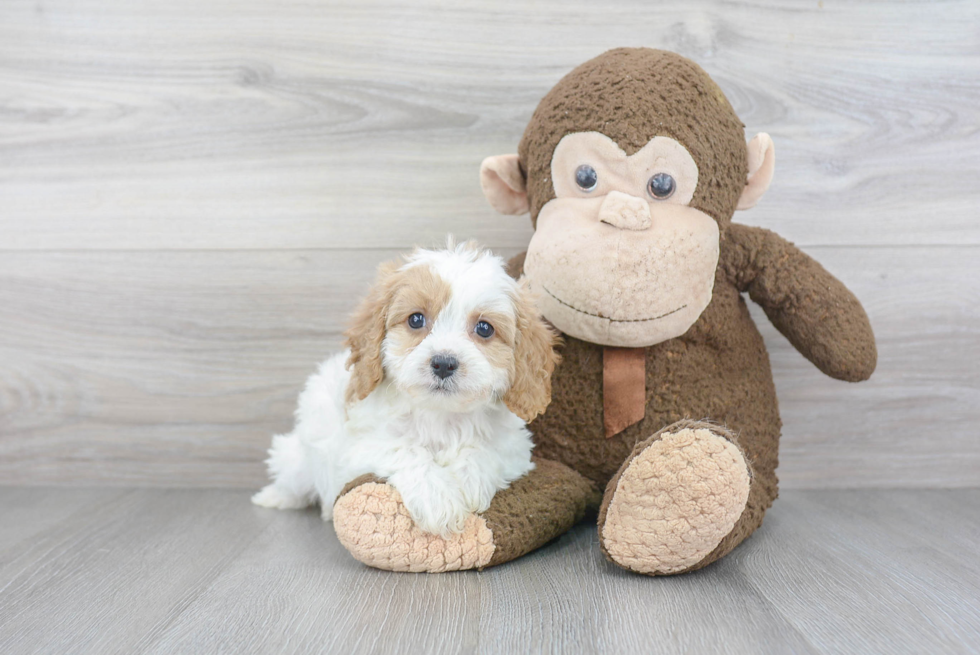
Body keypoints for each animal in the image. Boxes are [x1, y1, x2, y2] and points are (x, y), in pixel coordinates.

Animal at [253, 241, 560, 540]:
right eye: (416, 320)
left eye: (484, 328)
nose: (444, 363)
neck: (440, 414)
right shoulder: (360, 446)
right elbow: (406, 450)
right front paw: (438, 500)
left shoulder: (514, 447)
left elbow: (485, 450)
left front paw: (467, 481)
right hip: (300, 456)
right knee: (293, 477)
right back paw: (274, 497)